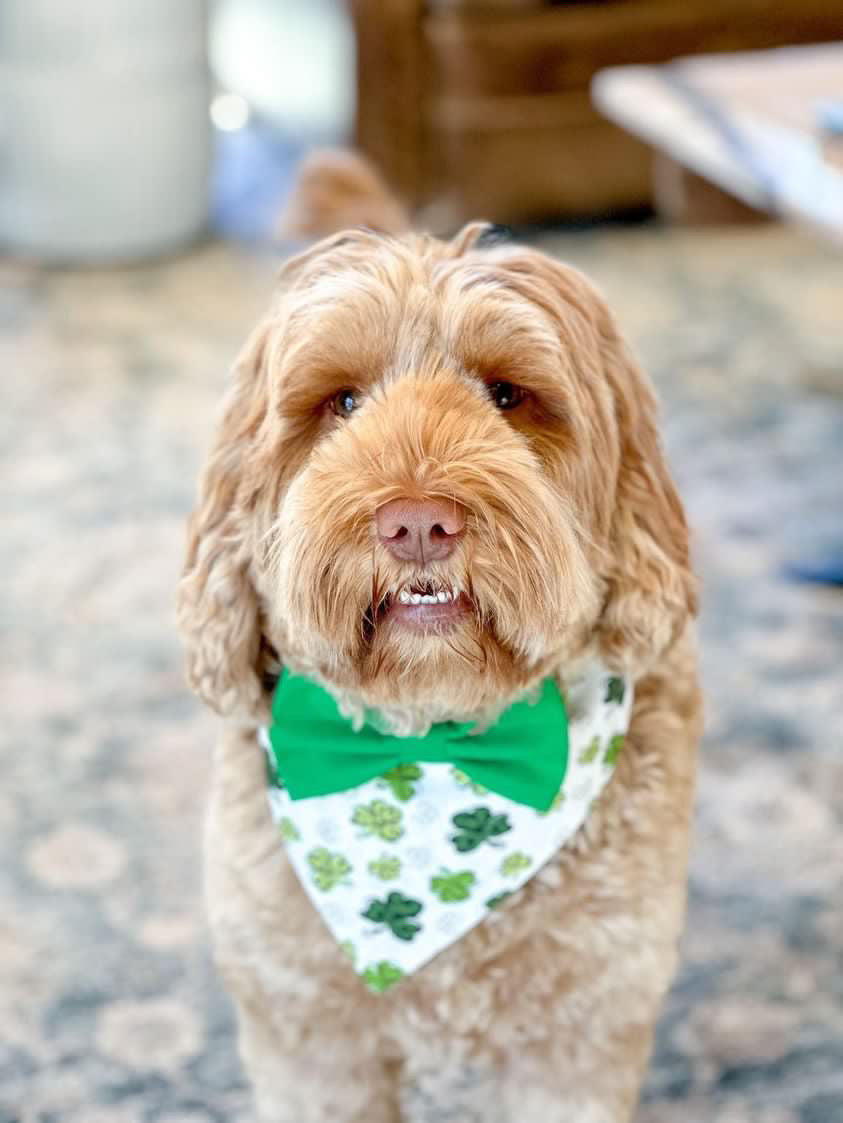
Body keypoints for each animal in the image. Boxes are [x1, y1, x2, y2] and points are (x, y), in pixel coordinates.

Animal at [179, 151, 704, 1123]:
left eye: (506, 395)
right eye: (342, 402)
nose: (417, 522)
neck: (430, 753)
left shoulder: (576, 1039)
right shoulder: (309, 1036)